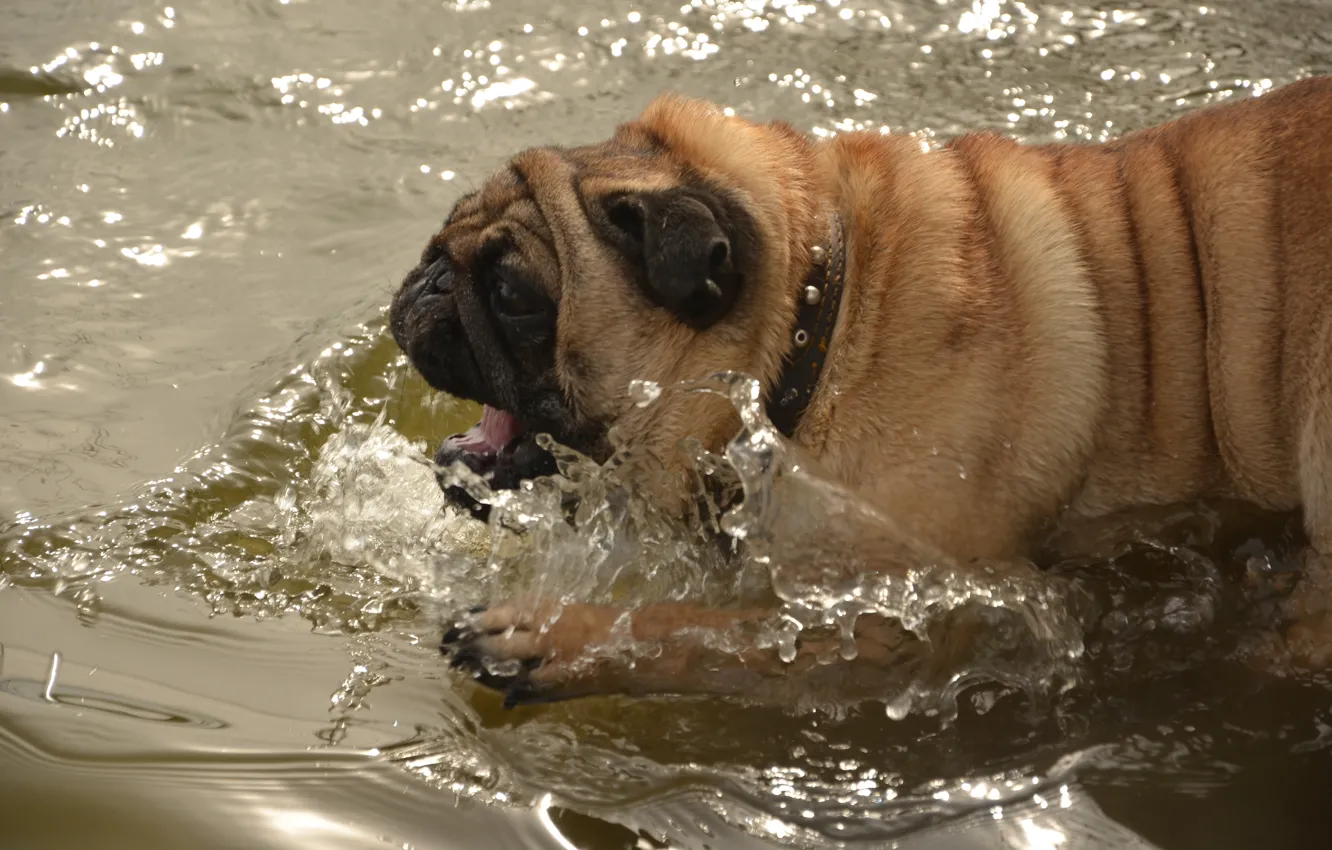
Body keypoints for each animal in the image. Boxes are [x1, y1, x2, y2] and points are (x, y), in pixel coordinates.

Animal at [388, 76, 1332, 708]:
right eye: (443, 235)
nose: (424, 281)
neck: (821, 334)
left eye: (513, 293)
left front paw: (552, 639)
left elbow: (699, 632)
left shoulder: (896, 620)